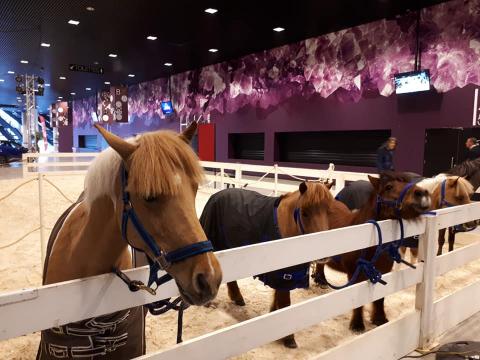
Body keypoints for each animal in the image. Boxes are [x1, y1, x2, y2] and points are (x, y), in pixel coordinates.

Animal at [199, 181, 334, 348]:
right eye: (305, 213)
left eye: (329, 211)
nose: (324, 254)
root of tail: (215, 196)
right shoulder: (284, 275)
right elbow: (285, 303)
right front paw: (288, 338)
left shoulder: (281, 274)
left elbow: (278, 298)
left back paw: (238, 298)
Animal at [312, 173, 432, 334]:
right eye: (389, 186)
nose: (422, 193)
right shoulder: (355, 275)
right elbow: (358, 303)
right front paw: (357, 325)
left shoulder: (383, 272)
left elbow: (380, 299)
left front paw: (379, 319)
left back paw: (322, 281)